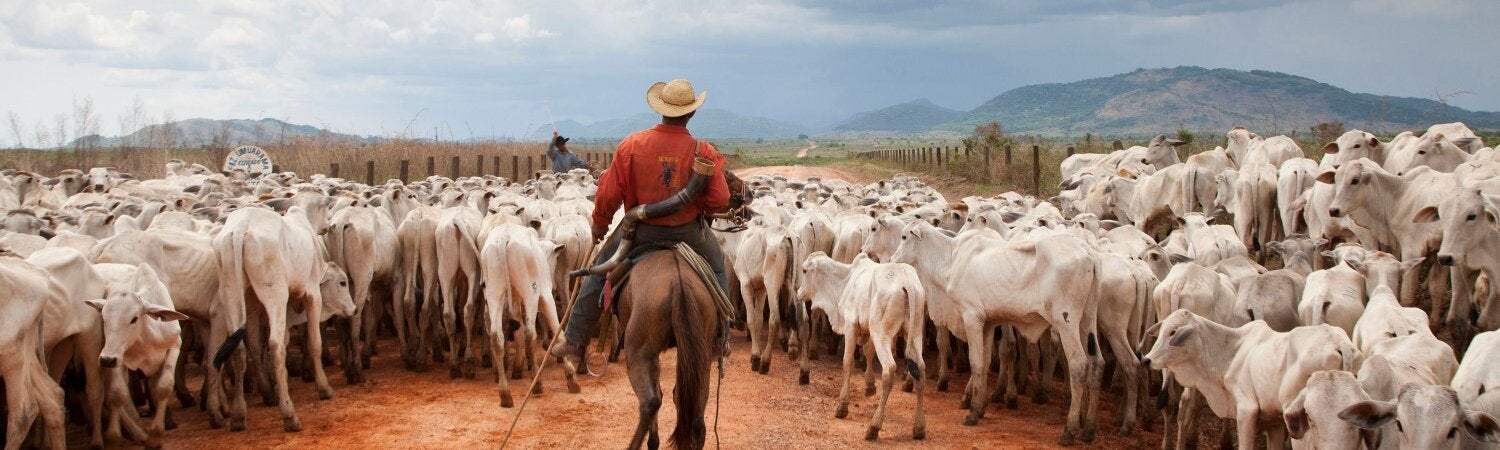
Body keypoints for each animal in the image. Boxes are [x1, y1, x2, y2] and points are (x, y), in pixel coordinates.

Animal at [615, 252, 720, 447]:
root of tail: (679, 283)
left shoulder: (648, 352)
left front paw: (653, 441)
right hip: (701, 353)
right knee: (695, 418)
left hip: (637, 352)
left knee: (650, 403)